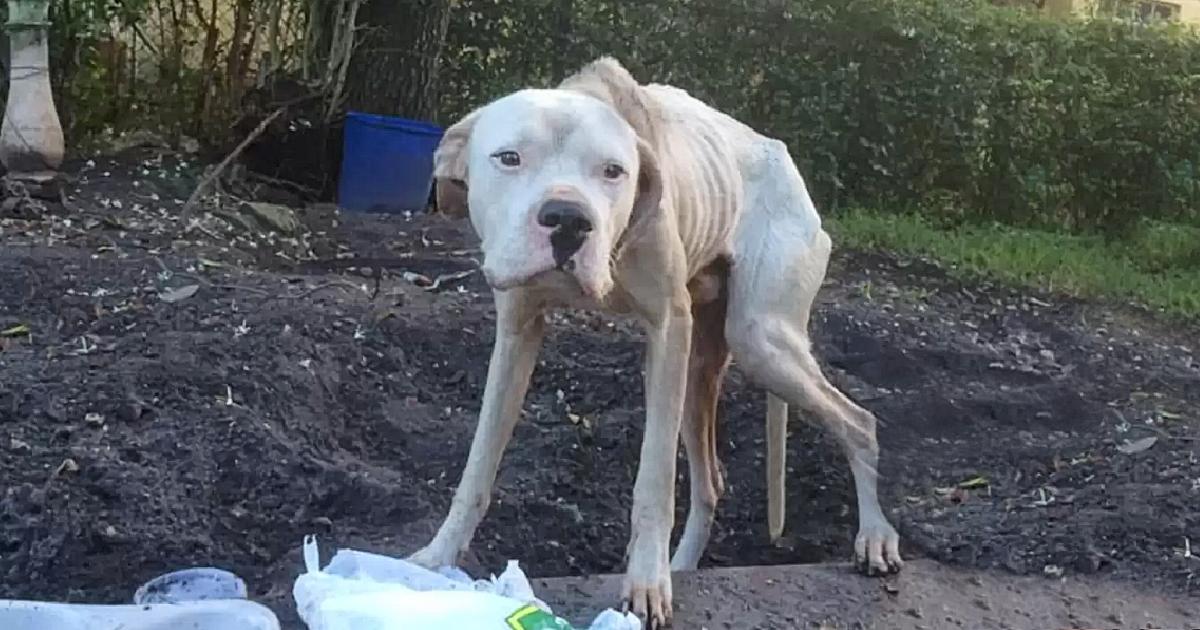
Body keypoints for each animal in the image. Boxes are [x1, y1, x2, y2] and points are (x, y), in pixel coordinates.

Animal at [410, 57, 902, 624]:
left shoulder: (667, 329)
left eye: (613, 171)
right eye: (508, 158)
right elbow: (478, 463)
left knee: (858, 423)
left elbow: (654, 483)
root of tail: (784, 160)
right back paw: (683, 566)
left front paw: (646, 583)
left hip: (761, 342)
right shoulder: (516, 333)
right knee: (711, 483)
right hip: (700, 371)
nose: (569, 219)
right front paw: (435, 558)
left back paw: (875, 538)